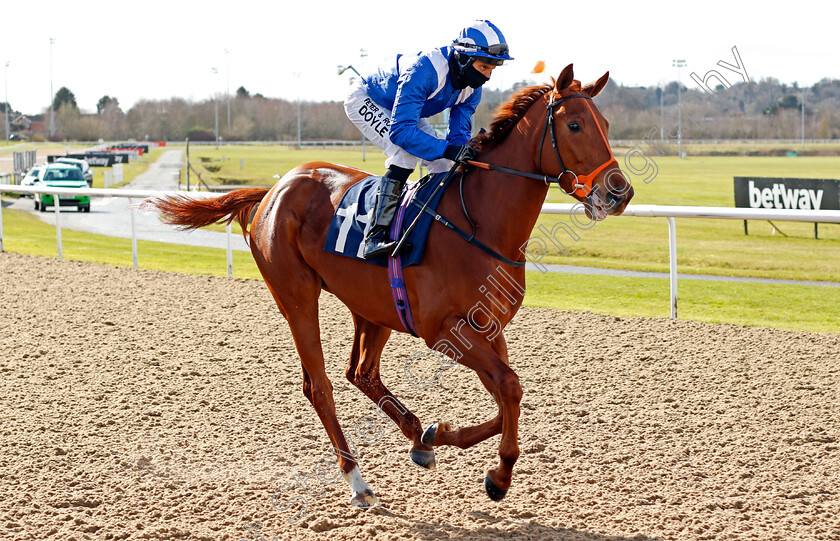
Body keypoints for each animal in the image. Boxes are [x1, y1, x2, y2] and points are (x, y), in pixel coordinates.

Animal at [146, 65, 632, 508]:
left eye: (606, 125)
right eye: (574, 125)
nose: (619, 192)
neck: (481, 225)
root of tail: (273, 190)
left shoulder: (488, 326)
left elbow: (506, 395)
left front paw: (438, 436)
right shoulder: (444, 329)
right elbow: (510, 389)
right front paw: (499, 476)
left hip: (372, 306)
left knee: (360, 372)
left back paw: (415, 435)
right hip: (296, 297)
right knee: (319, 386)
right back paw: (358, 482)